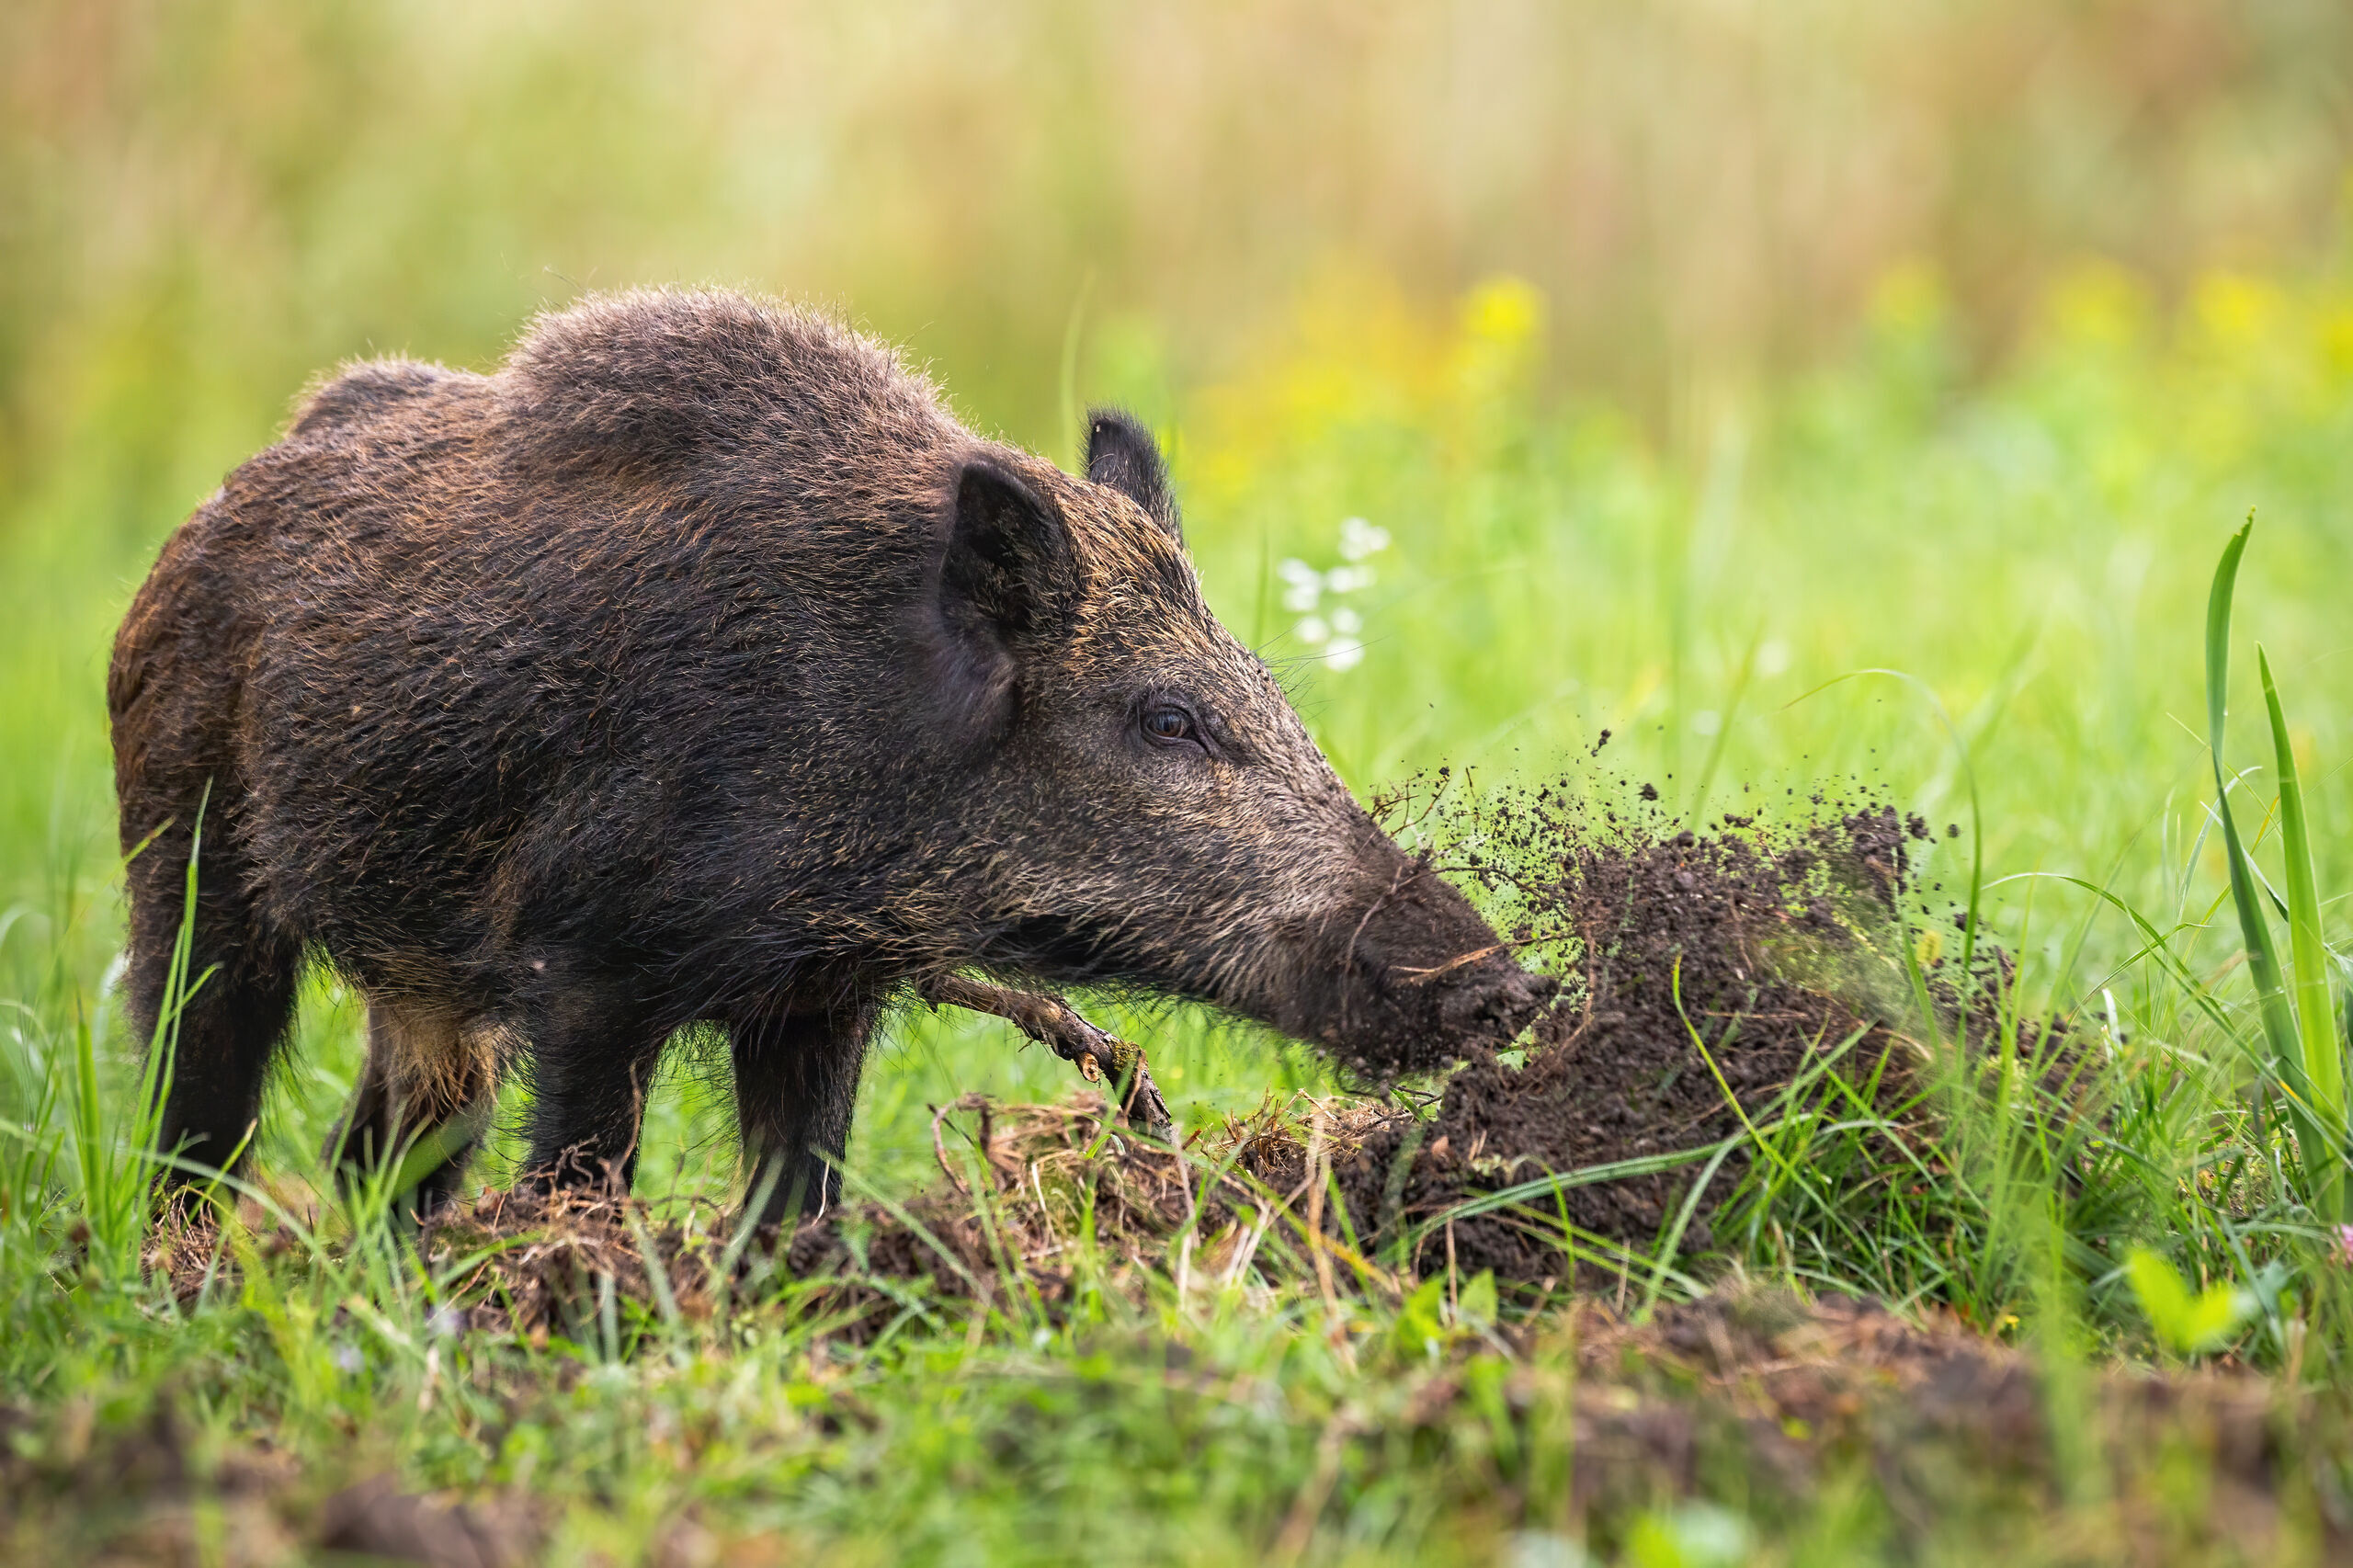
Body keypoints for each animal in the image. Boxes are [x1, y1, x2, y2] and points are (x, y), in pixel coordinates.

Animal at [108, 288, 1554, 1223]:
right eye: (1167, 719)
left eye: (1266, 693)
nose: (1510, 987)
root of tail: (226, 497)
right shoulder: (585, 966)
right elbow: (581, 1169)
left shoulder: (820, 992)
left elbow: (799, 1195)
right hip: (184, 850)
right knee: (200, 1090)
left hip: (423, 986)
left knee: (380, 1148)